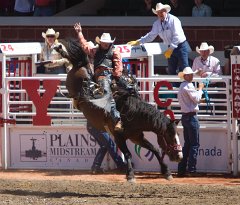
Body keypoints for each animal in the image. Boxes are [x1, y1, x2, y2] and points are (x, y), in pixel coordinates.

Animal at [57, 38, 183, 183]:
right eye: (169, 136)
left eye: (178, 135)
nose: (179, 156)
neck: (130, 113)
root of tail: (82, 65)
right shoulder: (118, 137)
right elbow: (128, 154)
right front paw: (130, 175)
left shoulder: (136, 137)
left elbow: (155, 149)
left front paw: (166, 172)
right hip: (72, 83)